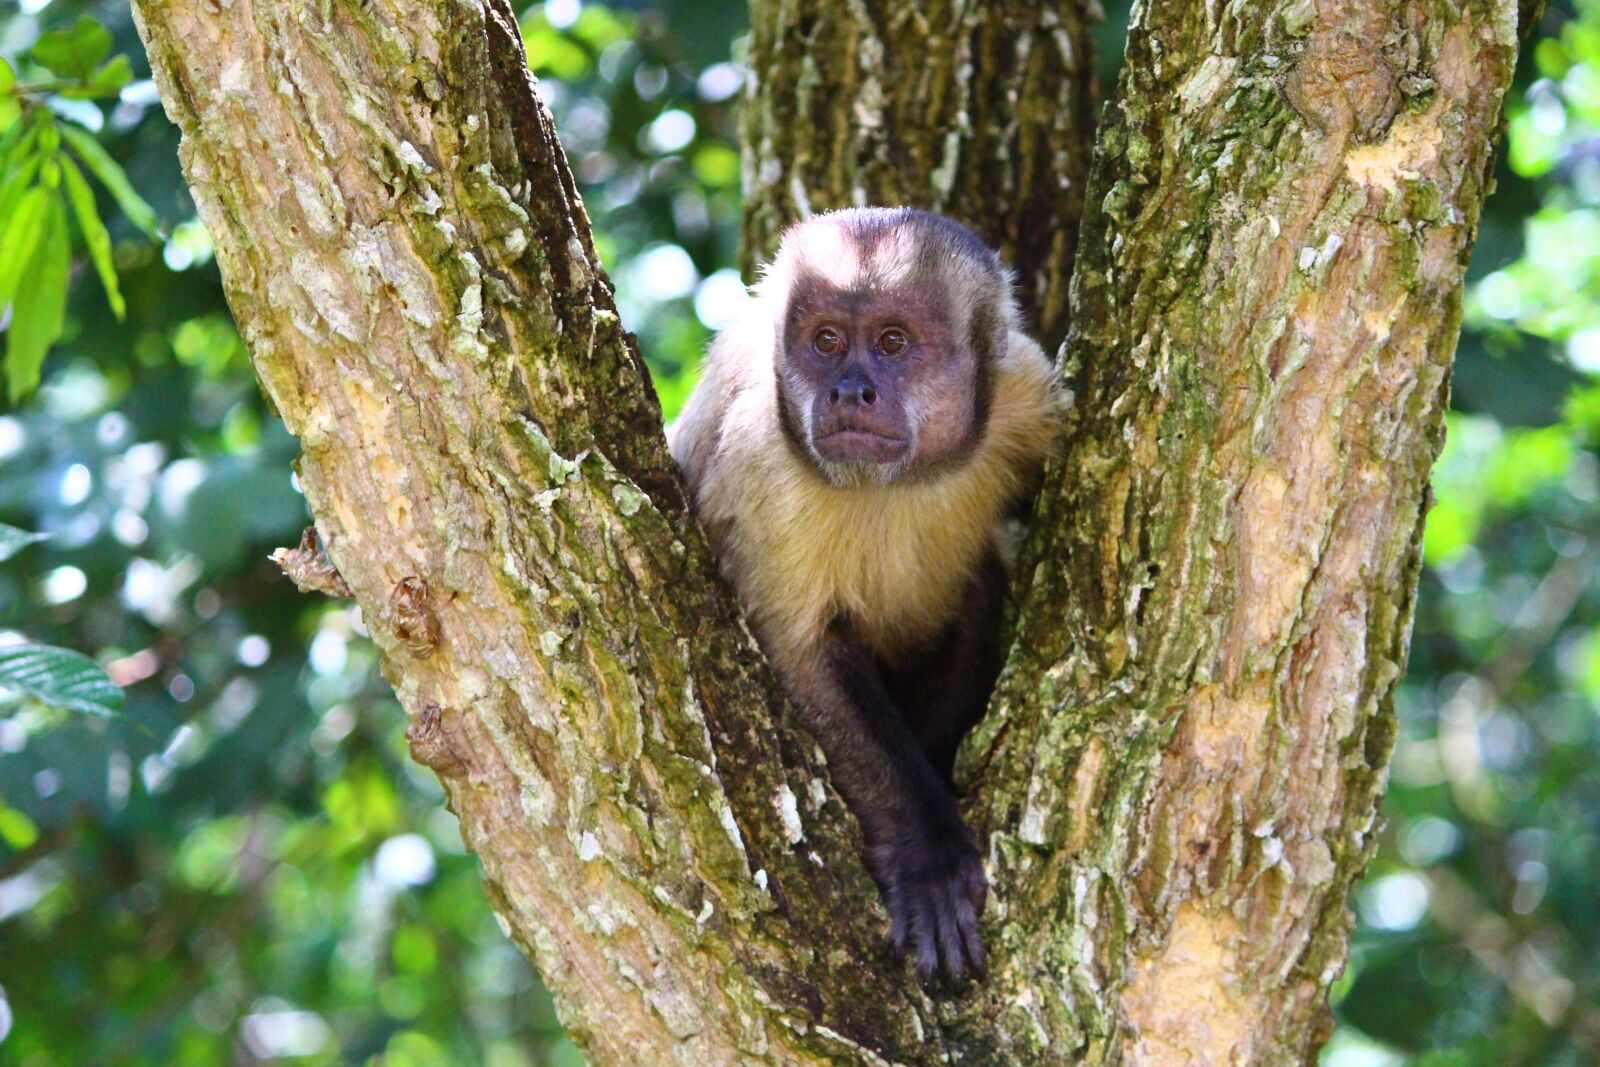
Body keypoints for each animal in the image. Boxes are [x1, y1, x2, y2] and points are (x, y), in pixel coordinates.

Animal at [667, 207, 1063, 985]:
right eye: (826, 342)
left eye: (891, 342)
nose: (850, 391)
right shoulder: (760, 452)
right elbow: (801, 653)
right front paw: (927, 854)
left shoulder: (1025, 392)